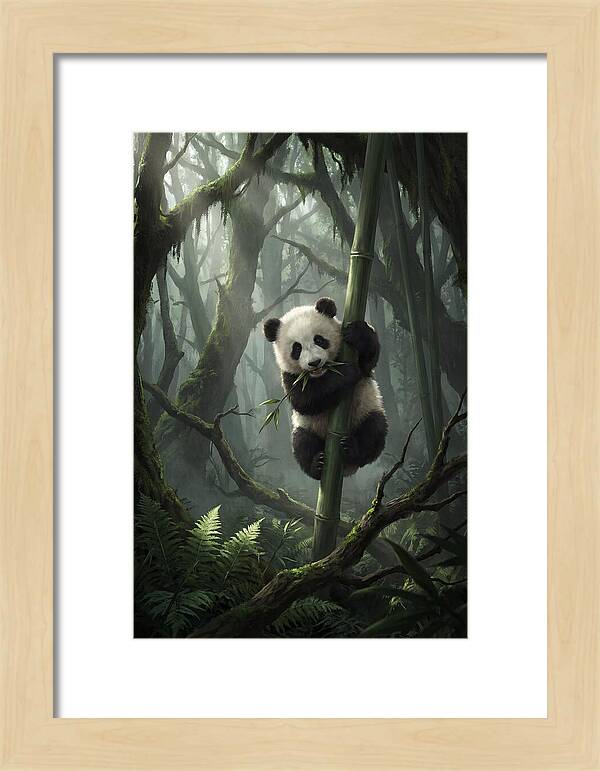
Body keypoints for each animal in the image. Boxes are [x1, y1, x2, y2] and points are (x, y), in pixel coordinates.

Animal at [263, 296, 387, 480]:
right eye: (297, 348)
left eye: (319, 340)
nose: (314, 363)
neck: (323, 373)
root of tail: (346, 469)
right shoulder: (290, 376)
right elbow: (305, 401)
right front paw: (347, 372)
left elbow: (368, 360)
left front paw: (357, 333)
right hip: (307, 427)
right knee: (302, 443)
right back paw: (317, 465)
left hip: (366, 410)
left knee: (374, 430)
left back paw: (352, 449)